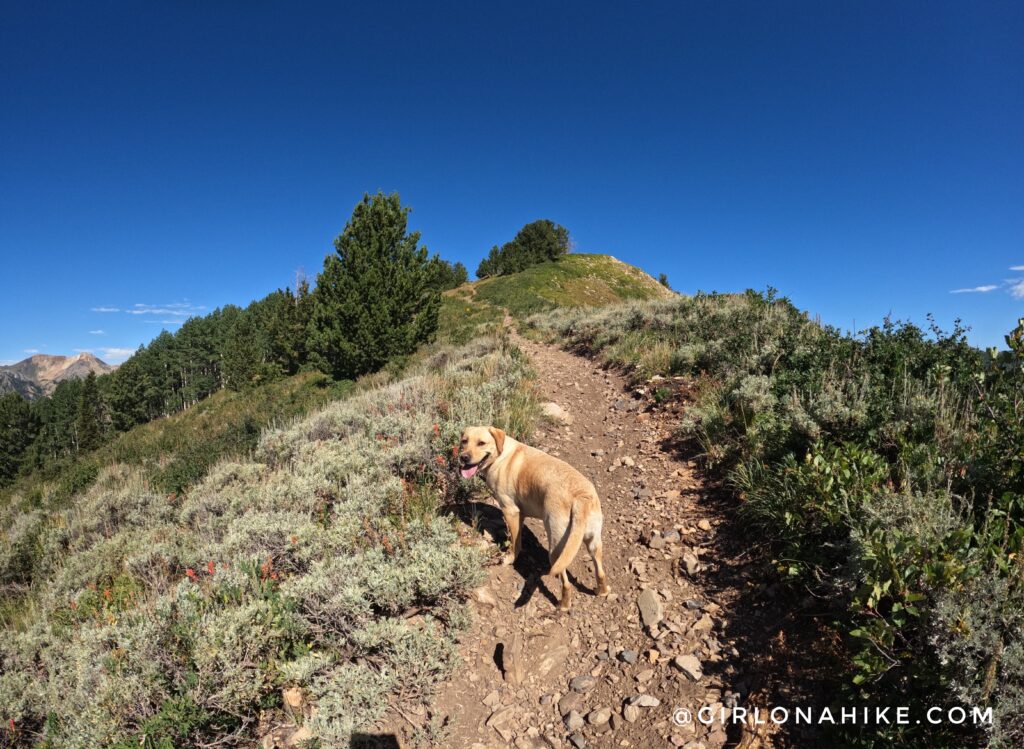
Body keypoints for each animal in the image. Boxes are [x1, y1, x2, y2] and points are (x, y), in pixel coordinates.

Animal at [462, 428, 606, 610]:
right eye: (464, 441)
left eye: (481, 443)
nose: (463, 457)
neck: (500, 456)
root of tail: (581, 497)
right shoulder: (521, 514)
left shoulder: (511, 511)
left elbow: (515, 543)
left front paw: (510, 558)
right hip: (594, 542)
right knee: (600, 571)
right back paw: (601, 591)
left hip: (556, 548)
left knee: (566, 583)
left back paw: (563, 605)